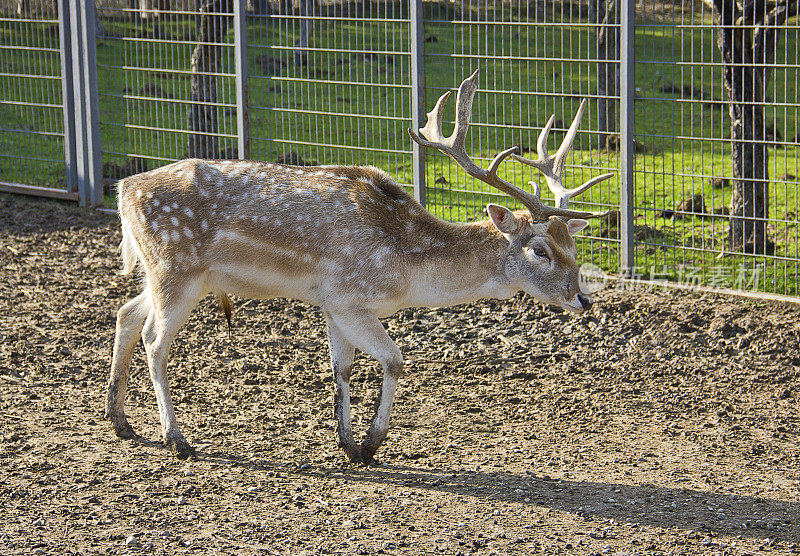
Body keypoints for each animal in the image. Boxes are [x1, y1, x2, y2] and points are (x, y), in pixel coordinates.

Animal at [108, 70, 612, 464]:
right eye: (540, 250)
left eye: (573, 242)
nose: (583, 298)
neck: (408, 272)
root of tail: (123, 188)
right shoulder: (349, 296)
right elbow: (394, 359)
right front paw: (371, 444)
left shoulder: (332, 303)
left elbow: (343, 369)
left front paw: (347, 443)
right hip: (177, 267)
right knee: (154, 339)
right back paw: (177, 440)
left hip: (167, 273)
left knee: (126, 313)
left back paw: (120, 422)